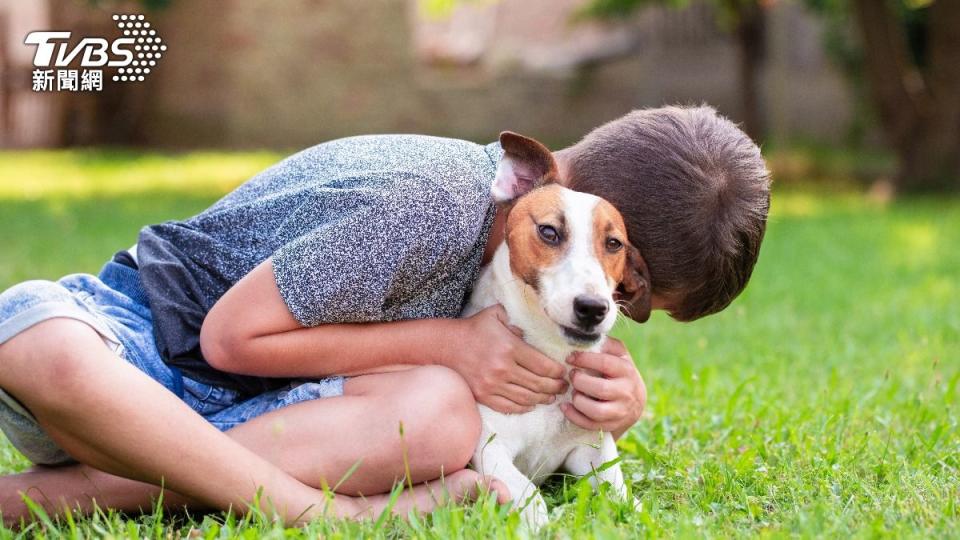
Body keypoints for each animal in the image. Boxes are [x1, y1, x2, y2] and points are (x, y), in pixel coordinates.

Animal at [464, 131, 656, 528]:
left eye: (613, 243)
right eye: (549, 231)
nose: (593, 308)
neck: (551, 351)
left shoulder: (593, 450)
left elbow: (622, 494)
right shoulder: (491, 447)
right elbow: (527, 494)